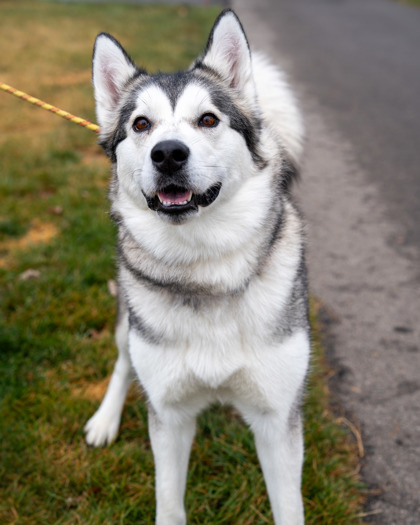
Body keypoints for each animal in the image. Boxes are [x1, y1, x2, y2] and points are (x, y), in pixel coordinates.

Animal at [84, 8, 308, 524]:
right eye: (141, 124)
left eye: (207, 119)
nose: (168, 152)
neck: (204, 267)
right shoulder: (168, 416)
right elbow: (169, 504)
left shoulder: (277, 419)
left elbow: (288, 507)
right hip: (129, 323)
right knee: (123, 362)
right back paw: (105, 419)